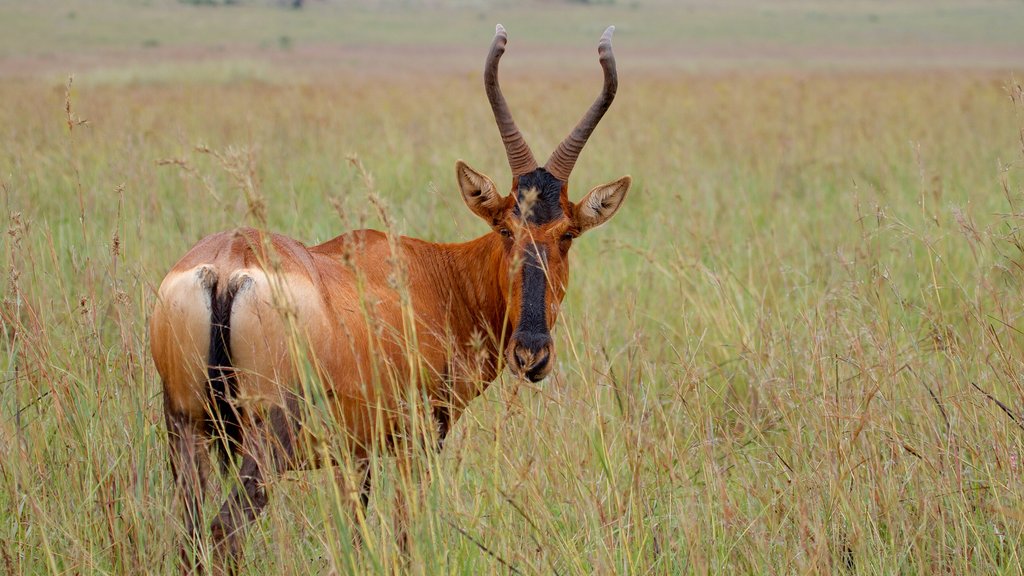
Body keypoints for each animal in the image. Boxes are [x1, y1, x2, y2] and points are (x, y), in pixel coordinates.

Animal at [149, 23, 630, 569]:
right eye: (507, 228)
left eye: (567, 233)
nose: (532, 352)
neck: (431, 276)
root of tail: (228, 265)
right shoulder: (416, 441)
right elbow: (402, 534)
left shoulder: (355, 454)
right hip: (268, 436)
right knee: (223, 529)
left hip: (185, 426)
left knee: (189, 535)